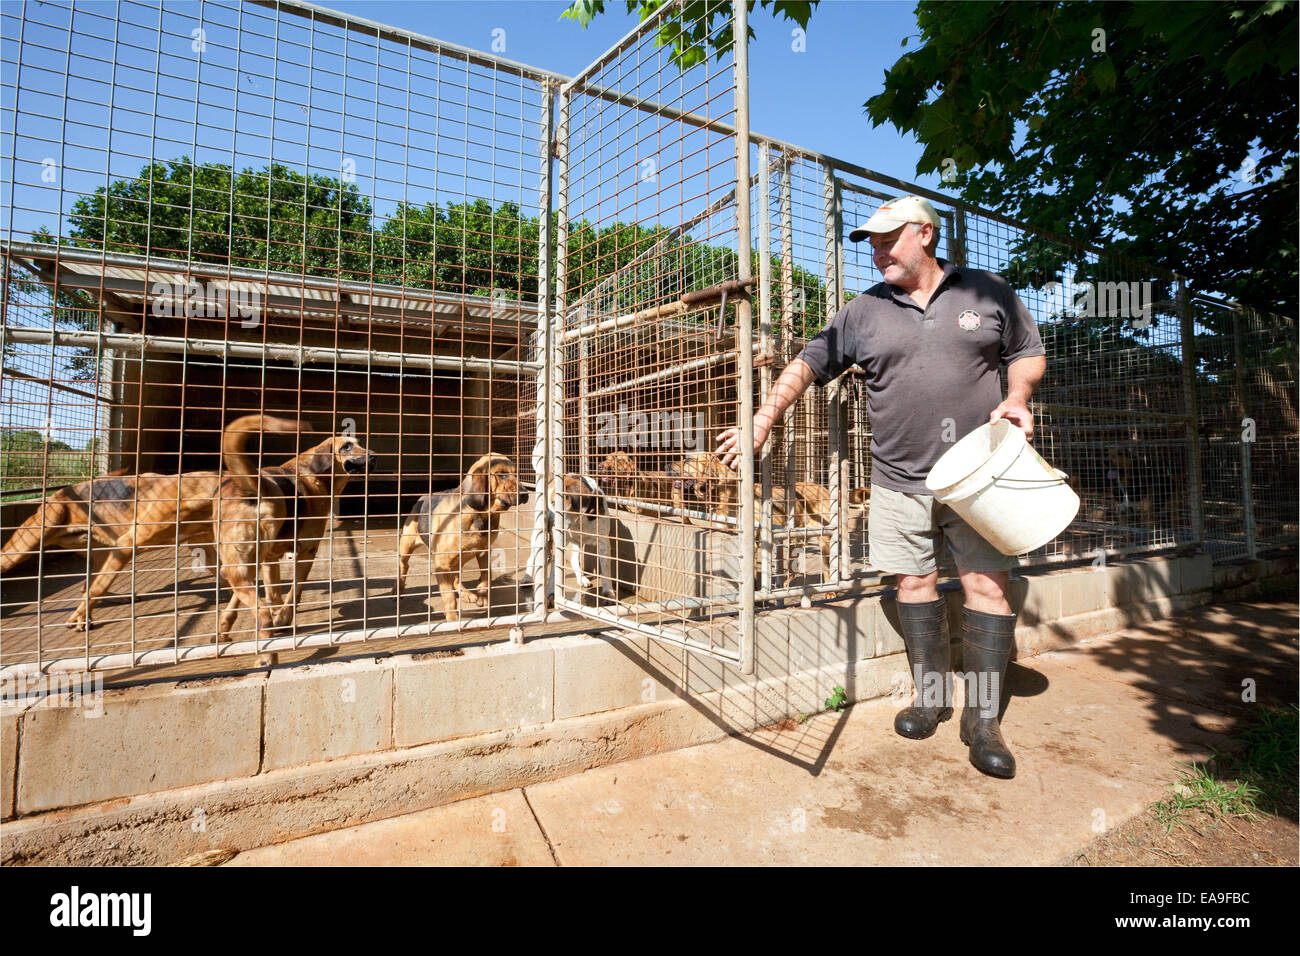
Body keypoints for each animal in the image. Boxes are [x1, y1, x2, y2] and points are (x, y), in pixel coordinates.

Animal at [392, 455, 520, 621]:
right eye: (502, 475)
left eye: (516, 474)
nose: (525, 493)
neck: (480, 516)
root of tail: (424, 497)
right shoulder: (441, 563)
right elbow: (449, 597)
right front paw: (452, 619)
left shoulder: (484, 552)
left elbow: (486, 576)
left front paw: (483, 597)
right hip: (406, 547)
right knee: (403, 567)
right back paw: (398, 591)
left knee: (456, 578)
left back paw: (465, 593)